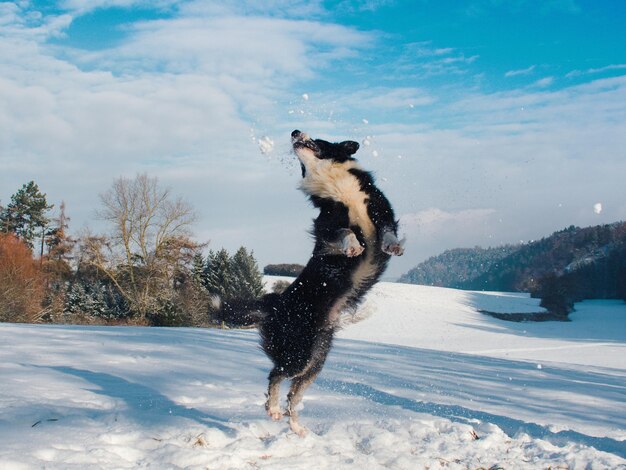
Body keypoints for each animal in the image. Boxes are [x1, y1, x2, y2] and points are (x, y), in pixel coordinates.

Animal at [214, 129, 402, 436]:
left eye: (322, 140)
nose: (294, 131)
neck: (335, 184)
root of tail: (275, 303)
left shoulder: (380, 208)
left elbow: (387, 229)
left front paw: (392, 246)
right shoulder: (327, 226)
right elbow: (344, 232)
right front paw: (353, 247)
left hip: (316, 361)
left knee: (294, 392)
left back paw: (296, 427)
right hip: (298, 354)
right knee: (275, 375)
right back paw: (273, 409)